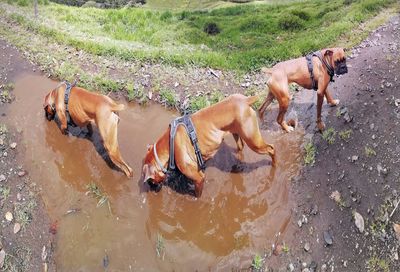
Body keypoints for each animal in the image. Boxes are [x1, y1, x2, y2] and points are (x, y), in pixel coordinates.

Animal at [141, 94, 276, 198]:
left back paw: (274, 165)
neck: (170, 142)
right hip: (237, 133)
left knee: (271, 149)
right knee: (240, 147)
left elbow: (197, 194)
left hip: (253, 141)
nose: (150, 188)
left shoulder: (199, 178)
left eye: (150, 180)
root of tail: (246, 100)